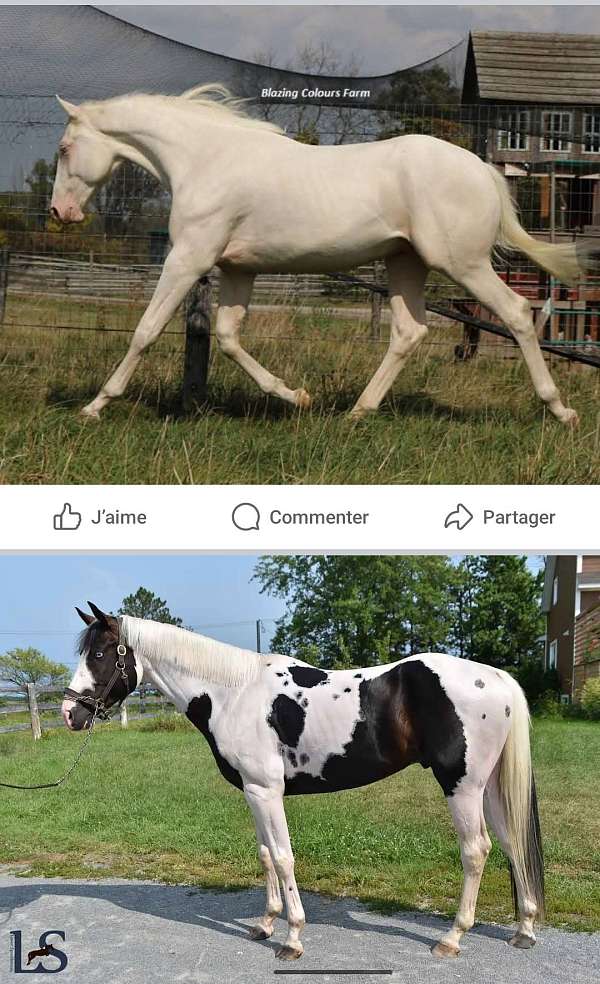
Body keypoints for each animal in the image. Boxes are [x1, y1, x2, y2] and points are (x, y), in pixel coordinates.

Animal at [49, 86, 590, 426]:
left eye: (63, 148)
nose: (60, 212)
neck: (205, 160)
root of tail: (481, 169)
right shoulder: (237, 268)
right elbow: (228, 337)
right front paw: (297, 397)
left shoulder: (189, 258)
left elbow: (146, 330)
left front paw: (95, 407)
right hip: (405, 263)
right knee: (409, 331)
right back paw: (357, 412)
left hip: (463, 264)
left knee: (516, 313)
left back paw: (560, 411)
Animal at [62, 603, 544, 963]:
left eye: (100, 654)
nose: (70, 713)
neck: (232, 693)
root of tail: (495, 677)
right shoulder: (253, 792)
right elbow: (264, 855)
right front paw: (265, 924)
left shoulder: (266, 791)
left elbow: (282, 856)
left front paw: (292, 938)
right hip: (488, 787)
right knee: (512, 841)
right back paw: (524, 928)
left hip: (462, 786)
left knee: (476, 851)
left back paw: (452, 938)